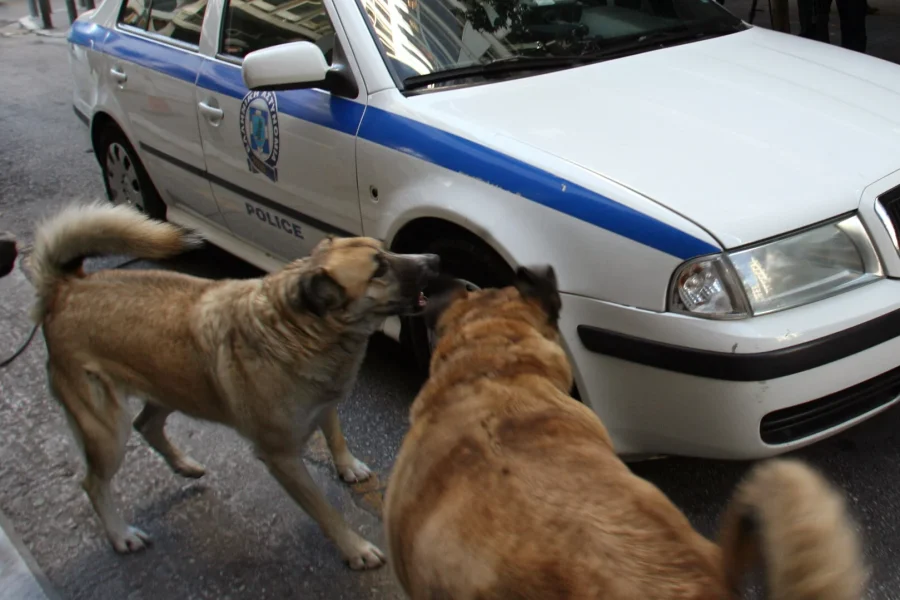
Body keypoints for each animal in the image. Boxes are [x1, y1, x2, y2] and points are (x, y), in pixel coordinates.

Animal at [34, 200, 440, 568]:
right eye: (378, 269)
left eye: (385, 249)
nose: (434, 259)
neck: (299, 329)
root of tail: (65, 289)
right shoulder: (282, 458)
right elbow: (325, 510)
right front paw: (354, 548)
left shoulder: (325, 401)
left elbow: (335, 433)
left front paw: (348, 466)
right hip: (106, 430)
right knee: (94, 482)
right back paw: (121, 535)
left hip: (173, 385)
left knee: (146, 423)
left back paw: (184, 465)